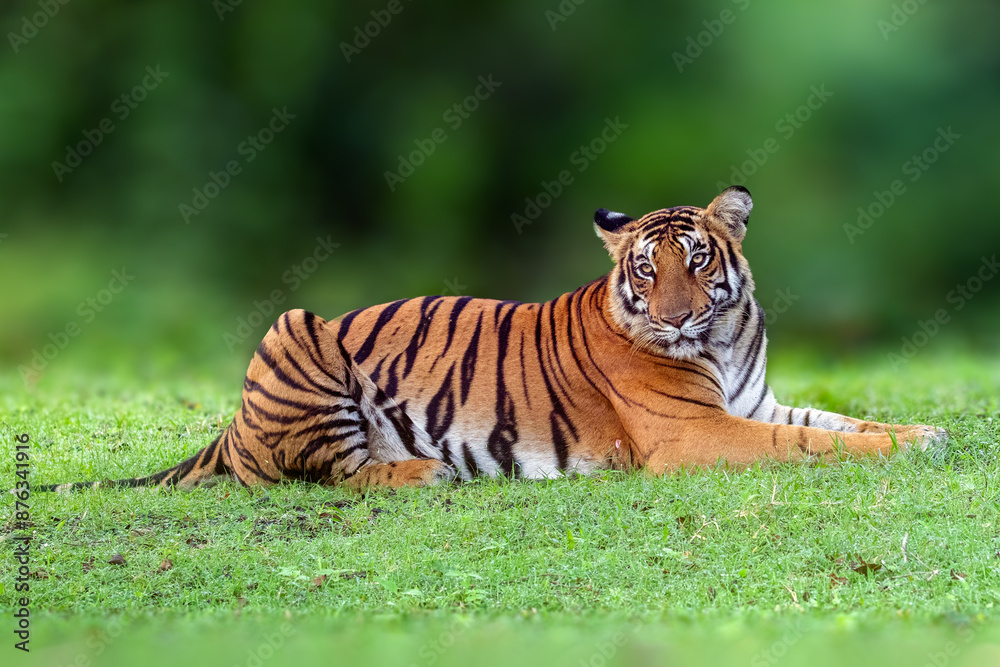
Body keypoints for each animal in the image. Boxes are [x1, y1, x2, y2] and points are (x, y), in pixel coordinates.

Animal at [41, 186, 946, 493]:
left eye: (695, 259)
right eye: (645, 270)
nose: (674, 318)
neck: (721, 340)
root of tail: (229, 429)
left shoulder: (754, 403)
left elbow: (838, 422)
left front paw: (924, 432)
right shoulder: (699, 434)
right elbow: (811, 445)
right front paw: (903, 446)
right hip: (295, 328)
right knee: (333, 473)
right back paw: (426, 470)